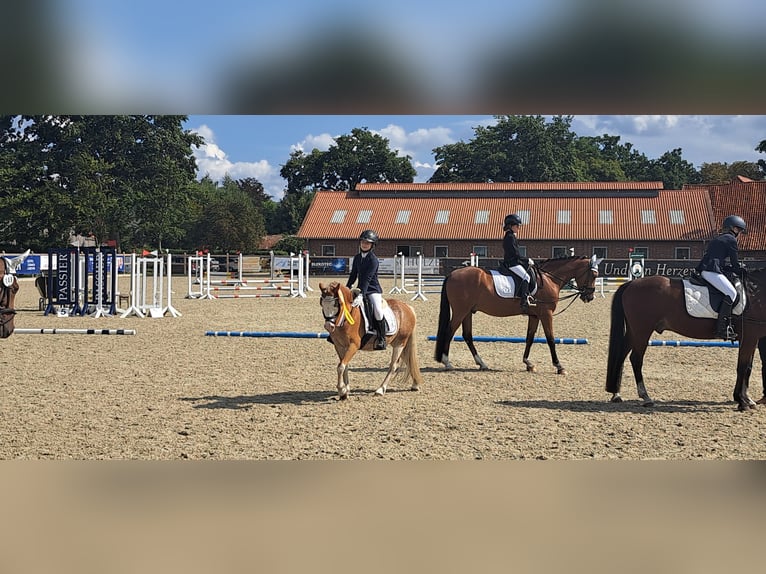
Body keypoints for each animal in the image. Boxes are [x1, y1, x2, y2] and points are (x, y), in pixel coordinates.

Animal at [434, 255, 601, 373]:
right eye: (594, 275)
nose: (590, 297)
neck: (549, 279)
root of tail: (452, 274)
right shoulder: (546, 314)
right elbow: (551, 339)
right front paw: (559, 366)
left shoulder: (535, 316)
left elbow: (530, 338)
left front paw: (528, 363)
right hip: (460, 311)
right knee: (449, 332)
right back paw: (447, 362)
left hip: (468, 312)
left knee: (467, 335)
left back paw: (482, 363)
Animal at [605, 270, 766, 411]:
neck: (755, 295)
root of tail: (631, 283)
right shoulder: (749, 337)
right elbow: (742, 367)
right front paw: (741, 401)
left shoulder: (752, 339)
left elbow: (748, 368)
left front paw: (748, 400)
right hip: (642, 332)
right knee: (636, 359)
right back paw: (646, 397)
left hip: (634, 332)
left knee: (622, 354)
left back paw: (616, 394)